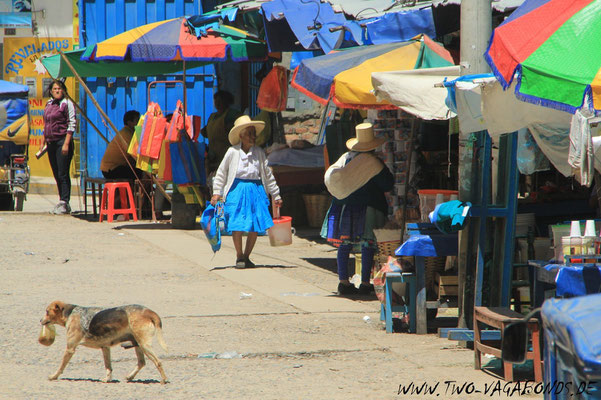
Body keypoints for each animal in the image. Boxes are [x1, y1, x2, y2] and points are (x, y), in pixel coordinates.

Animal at [40, 300, 168, 384]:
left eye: (47, 311)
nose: (40, 320)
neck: (70, 313)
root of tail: (149, 312)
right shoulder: (105, 348)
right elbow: (108, 367)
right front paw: (107, 379)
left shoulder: (70, 348)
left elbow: (61, 366)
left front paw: (54, 376)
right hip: (137, 344)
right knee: (141, 362)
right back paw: (130, 377)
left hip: (144, 345)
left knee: (158, 362)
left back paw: (164, 379)